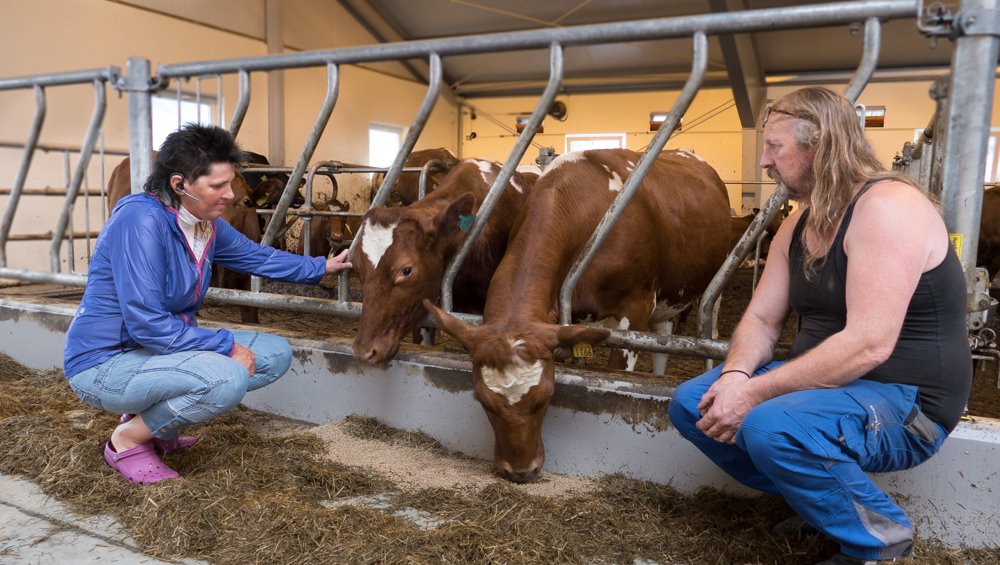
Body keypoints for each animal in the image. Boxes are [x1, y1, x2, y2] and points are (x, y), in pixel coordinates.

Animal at [426, 147, 732, 480]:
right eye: (483, 401)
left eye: (545, 398)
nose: (521, 471)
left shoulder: (634, 309)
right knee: (663, 339)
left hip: (714, 277)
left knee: (708, 328)